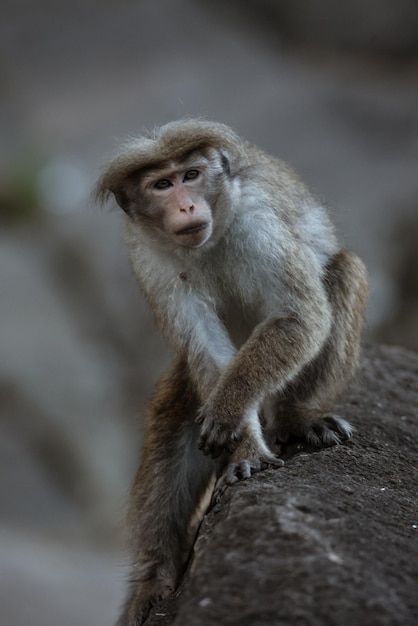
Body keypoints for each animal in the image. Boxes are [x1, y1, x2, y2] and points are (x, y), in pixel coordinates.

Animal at [95, 118, 370, 624]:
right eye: (162, 185)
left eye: (191, 175)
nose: (185, 204)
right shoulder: (148, 256)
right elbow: (204, 348)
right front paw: (244, 447)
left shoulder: (259, 224)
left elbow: (298, 317)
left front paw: (230, 411)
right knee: (174, 411)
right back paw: (155, 579)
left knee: (344, 271)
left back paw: (296, 417)